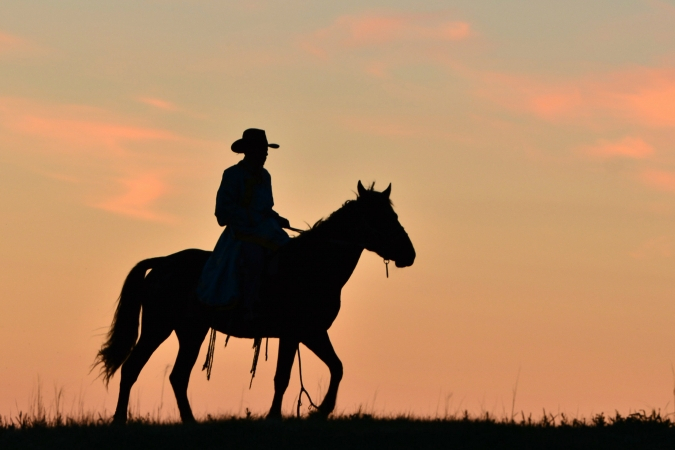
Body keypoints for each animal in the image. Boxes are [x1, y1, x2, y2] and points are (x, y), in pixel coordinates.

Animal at [92, 182, 414, 422]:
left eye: (394, 215)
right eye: (380, 217)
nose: (409, 254)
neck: (311, 266)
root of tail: (162, 263)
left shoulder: (311, 333)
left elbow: (336, 367)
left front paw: (321, 411)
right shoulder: (296, 333)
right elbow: (283, 377)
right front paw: (278, 417)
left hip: (190, 333)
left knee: (176, 376)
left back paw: (188, 421)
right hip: (157, 328)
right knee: (133, 369)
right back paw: (120, 420)